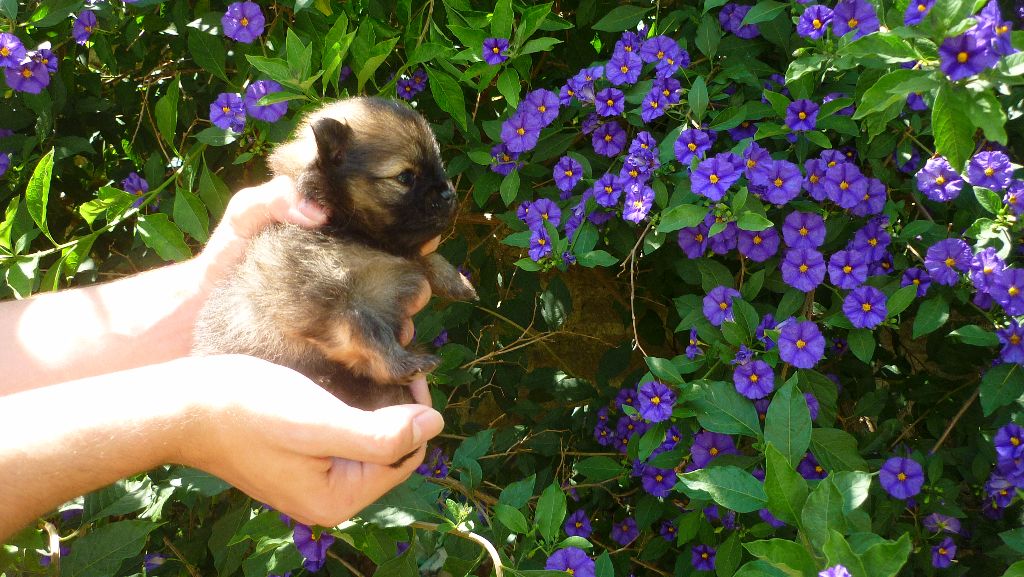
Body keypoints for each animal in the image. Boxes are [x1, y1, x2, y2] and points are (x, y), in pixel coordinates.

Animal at [192, 99, 475, 414]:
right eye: (405, 177)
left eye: (439, 167)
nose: (449, 194)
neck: (349, 232)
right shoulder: (329, 301)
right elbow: (369, 331)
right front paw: (404, 364)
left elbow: (423, 257)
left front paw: (457, 280)